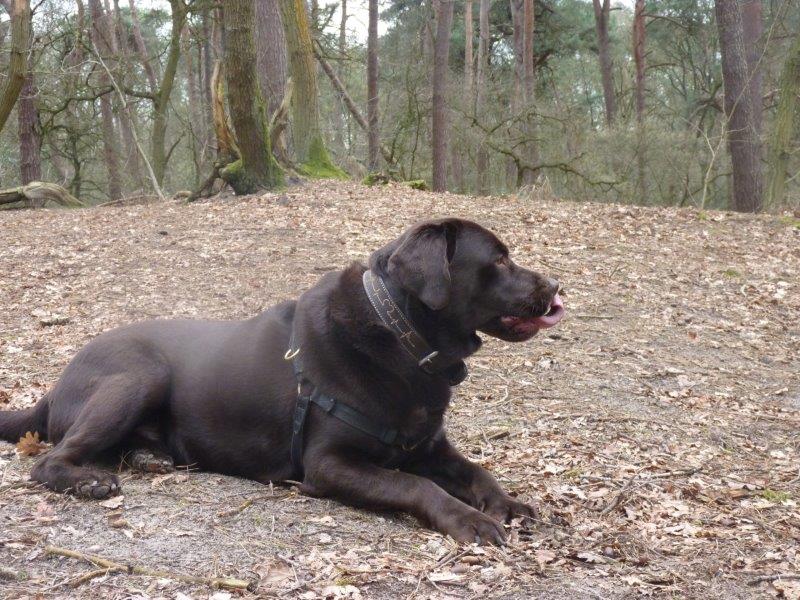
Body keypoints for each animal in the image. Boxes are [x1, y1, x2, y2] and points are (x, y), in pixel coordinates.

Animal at [0, 219, 564, 544]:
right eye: (499, 259)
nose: (558, 285)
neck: (401, 336)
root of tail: (55, 385)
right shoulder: (328, 463)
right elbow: (414, 484)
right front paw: (468, 519)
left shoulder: (430, 447)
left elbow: (477, 471)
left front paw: (507, 504)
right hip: (139, 376)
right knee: (49, 460)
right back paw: (89, 479)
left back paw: (148, 457)